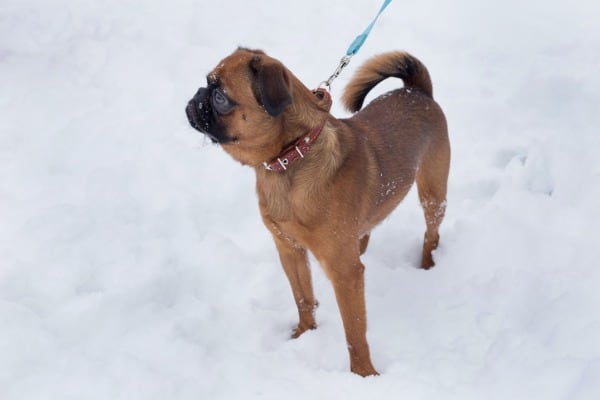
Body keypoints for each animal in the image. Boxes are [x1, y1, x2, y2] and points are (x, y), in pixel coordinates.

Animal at [185, 48, 448, 376]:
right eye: (207, 85)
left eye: (220, 97)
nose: (197, 96)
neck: (292, 157)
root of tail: (416, 90)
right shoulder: (290, 249)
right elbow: (304, 298)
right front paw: (305, 334)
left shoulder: (344, 273)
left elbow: (354, 331)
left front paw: (364, 374)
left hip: (433, 194)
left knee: (431, 234)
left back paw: (427, 266)